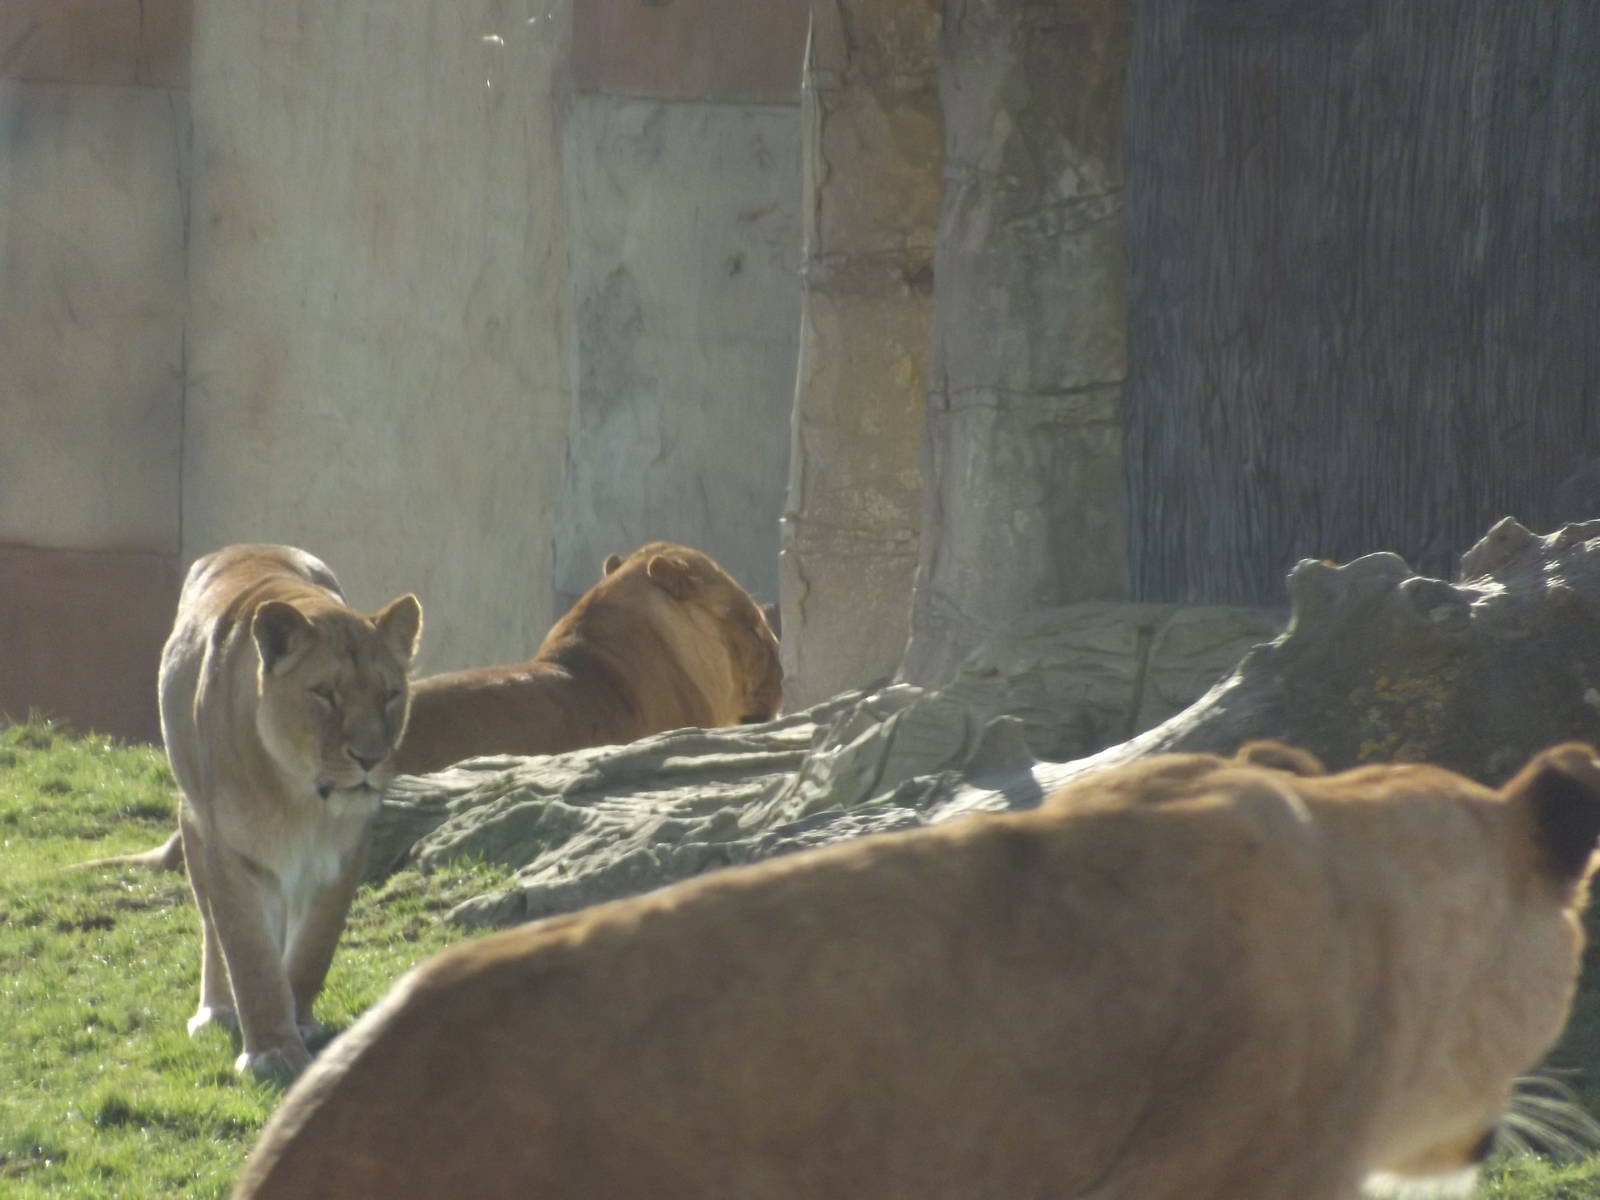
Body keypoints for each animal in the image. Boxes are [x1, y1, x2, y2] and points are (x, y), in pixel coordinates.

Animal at [158, 544, 421, 1078]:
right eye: (325, 693)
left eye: (390, 695)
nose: (369, 759)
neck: (300, 798)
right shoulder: (232, 855)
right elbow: (250, 954)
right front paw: (271, 1052)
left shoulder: (345, 854)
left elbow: (312, 948)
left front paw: (297, 1023)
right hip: (193, 827)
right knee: (212, 928)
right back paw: (216, 1010)